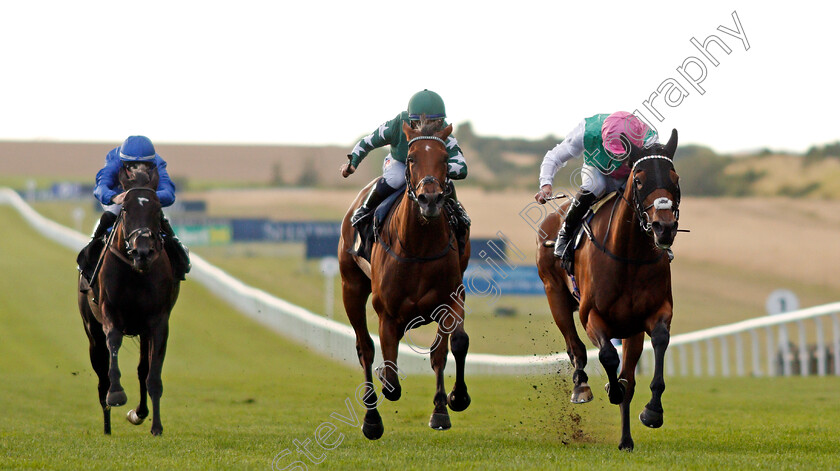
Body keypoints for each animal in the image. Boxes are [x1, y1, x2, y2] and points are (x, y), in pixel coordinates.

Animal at [77, 164, 179, 436]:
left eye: (157, 208)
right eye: (125, 209)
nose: (142, 251)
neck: (136, 271)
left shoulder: (158, 322)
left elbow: (152, 374)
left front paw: (155, 425)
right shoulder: (110, 313)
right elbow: (113, 343)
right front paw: (117, 394)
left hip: (142, 331)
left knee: (143, 369)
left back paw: (140, 413)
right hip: (91, 330)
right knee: (101, 374)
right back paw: (107, 427)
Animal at [340, 120, 472, 440]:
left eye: (445, 159)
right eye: (411, 158)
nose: (430, 199)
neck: (419, 247)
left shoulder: (452, 298)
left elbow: (451, 346)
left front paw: (450, 403)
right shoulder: (387, 312)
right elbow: (390, 377)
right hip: (351, 287)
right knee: (365, 348)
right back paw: (371, 419)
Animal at [540, 128, 684, 450]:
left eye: (675, 177)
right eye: (639, 179)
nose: (664, 228)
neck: (629, 256)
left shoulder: (655, 313)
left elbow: (659, 342)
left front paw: (652, 411)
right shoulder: (592, 315)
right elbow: (607, 356)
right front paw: (610, 387)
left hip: (630, 330)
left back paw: (626, 440)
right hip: (554, 295)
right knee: (575, 347)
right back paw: (581, 385)